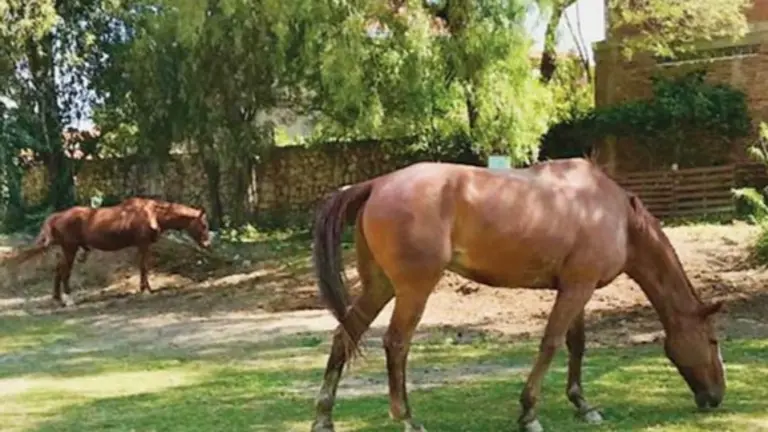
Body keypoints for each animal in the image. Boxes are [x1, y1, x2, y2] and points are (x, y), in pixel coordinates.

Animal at [4, 197, 211, 307]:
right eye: (203, 224)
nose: (207, 244)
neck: (151, 213)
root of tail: (57, 216)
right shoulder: (142, 244)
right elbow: (143, 266)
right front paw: (145, 290)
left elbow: (144, 267)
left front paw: (148, 288)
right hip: (70, 248)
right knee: (65, 271)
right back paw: (68, 299)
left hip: (66, 249)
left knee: (58, 270)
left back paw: (57, 298)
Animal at [310, 158, 725, 432]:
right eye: (713, 339)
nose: (717, 397)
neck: (617, 216)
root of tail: (377, 184)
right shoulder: (577, 289)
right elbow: (551, 343)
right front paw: (529, 414)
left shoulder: (577, 286)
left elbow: (576, 344)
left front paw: (582, 404)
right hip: (414, 289)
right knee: (396, 344)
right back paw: (408, 419)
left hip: (379, 286)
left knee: (344, 335)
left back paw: (323, 417)